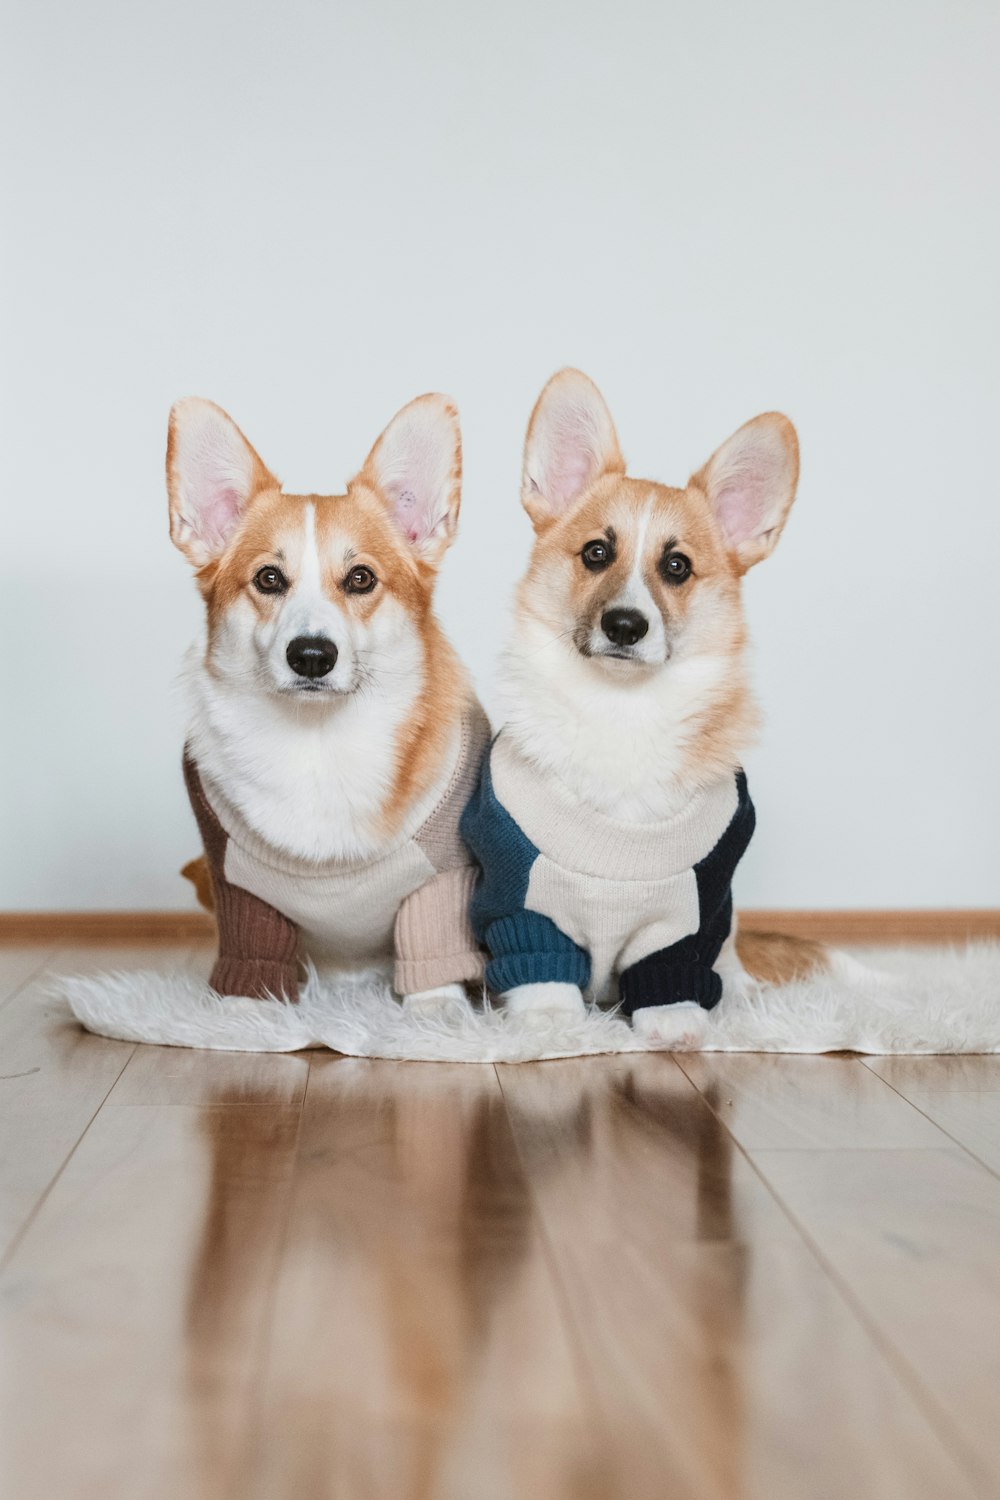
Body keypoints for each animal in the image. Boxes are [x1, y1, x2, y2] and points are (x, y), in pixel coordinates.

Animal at [167, 396, 488, 1008]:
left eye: (360, 578)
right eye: (269, 579)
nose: (312, 657)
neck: (317, 742)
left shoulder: (441, 878)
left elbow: (433, 962)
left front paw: (437, 1017)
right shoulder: (237, 883)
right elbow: (251, 964)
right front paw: (245, 1015)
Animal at [464, 369, 827, 1050]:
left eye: (677, 566)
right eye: (596, 554)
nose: (626, 626)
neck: (621, 711)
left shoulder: (695, 906)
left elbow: (675, 967)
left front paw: (675, 1024)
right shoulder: (521, 895)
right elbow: (541, 966)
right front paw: (549, 1024)